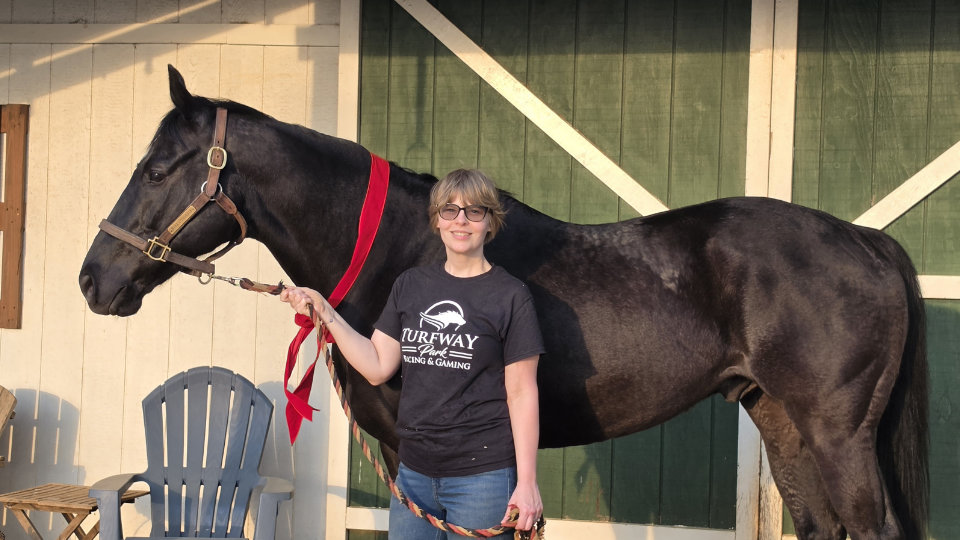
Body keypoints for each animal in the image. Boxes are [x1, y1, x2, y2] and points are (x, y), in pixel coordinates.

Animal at [79, 66, 928, 540]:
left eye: (158, 168)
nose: (93, 279)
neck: (403, 251)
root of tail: (865, 240)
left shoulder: (417, 452)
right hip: (780, 420)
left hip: (837, 435)